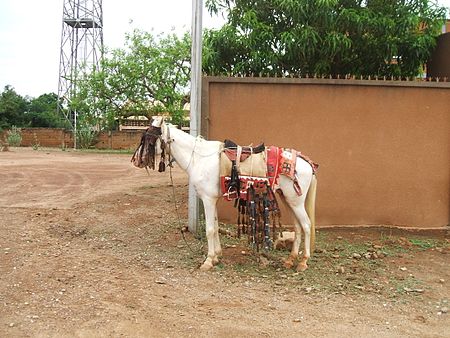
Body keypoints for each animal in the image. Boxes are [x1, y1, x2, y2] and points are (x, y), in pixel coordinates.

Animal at [151, 116, 316, 272]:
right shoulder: (213, 200)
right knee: (298, 227)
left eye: (151, 135)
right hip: (289, 200)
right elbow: (215, 226)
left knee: (306, 225)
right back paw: (290, 260)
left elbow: (209, 230)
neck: (199, 158)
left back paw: (303, 262)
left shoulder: (208, 200)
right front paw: (217, 256)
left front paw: (208, 261)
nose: (144, 161)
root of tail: (307, 163)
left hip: (296, 202)